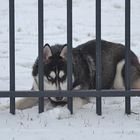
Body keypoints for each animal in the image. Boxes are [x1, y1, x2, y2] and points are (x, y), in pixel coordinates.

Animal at [2, 39, 140, 110]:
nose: (58, 97)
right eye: (50, 78)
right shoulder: (36, 92)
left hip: (121, 75)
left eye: (63, 77)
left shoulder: (81, 96)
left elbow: (69, 105)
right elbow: (19, 102)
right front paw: (4, 106)